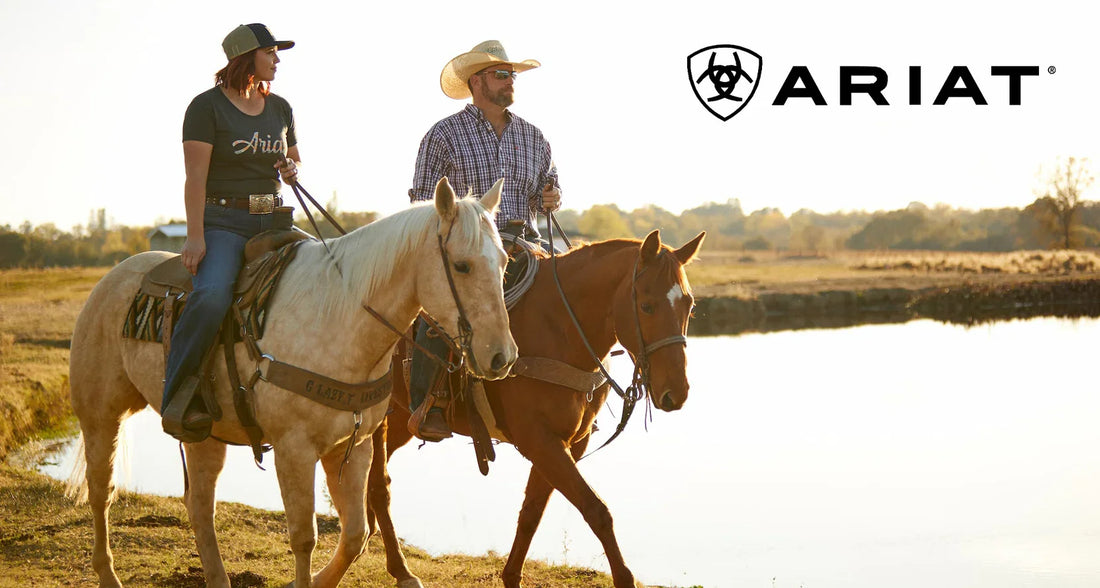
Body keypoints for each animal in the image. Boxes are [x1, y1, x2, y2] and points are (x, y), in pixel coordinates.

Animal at [67, 178, 518, 588]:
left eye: (504, 262)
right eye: (461, 265)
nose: (502, 357)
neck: (340, 316)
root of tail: (111, 279)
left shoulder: (351, 447)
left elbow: (355, 534)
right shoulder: (294, 449)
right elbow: (304, 538)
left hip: (204, 436)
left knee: (199, 508)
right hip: (100, 417)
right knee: (101, 491)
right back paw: (107, 574)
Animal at [365, 229, 705, 588]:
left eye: (689, 305)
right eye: (647, 305)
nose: (676, 392)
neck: (559, 328)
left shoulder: (569, 442)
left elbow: (532, 512)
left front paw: (511, 576)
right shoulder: (539, 441)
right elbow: (596, 510)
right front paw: (624, 577)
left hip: (400, 419)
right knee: (378, 486)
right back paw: (400, 569)